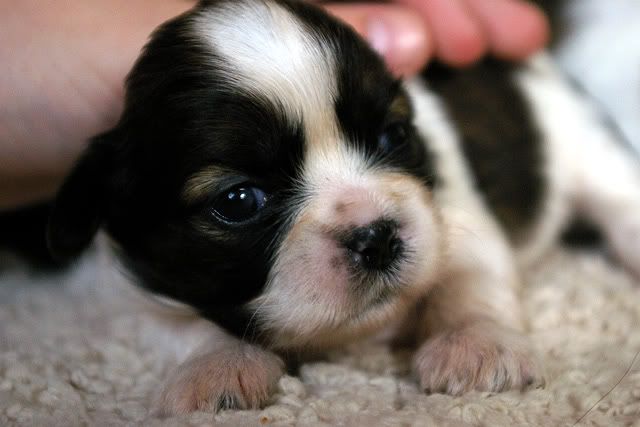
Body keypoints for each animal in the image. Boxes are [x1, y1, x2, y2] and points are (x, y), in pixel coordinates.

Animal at [46, 0, 640, 415]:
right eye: (238, 201)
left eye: (393, 136)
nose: (376, 237)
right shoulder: (132, 287)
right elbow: (180, 324)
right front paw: (216, 367)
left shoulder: (453, 214)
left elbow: (469, 281)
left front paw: (477, 346)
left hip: (586, 147)